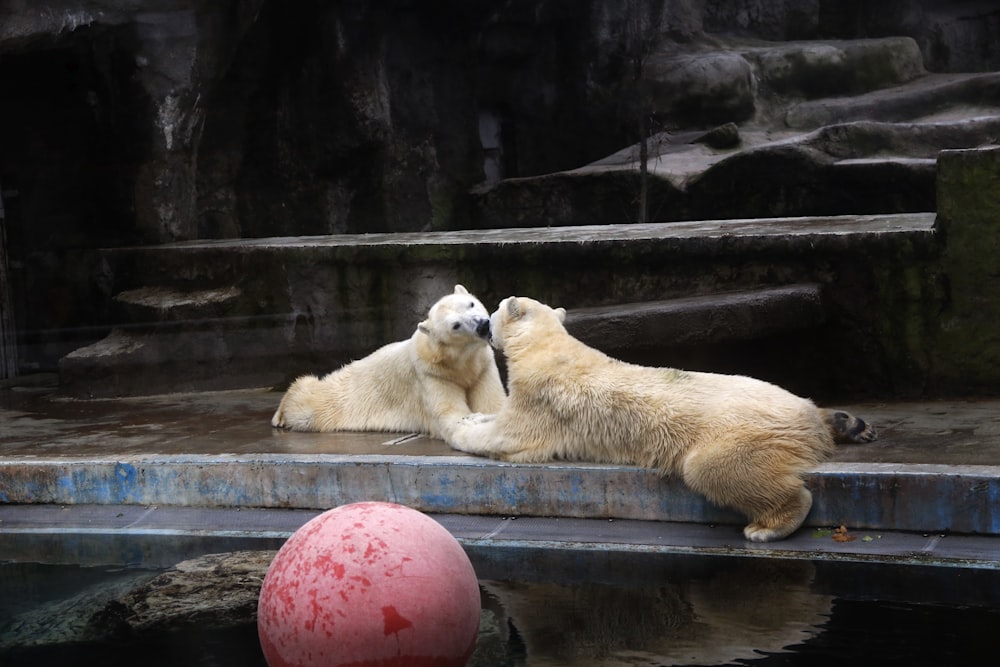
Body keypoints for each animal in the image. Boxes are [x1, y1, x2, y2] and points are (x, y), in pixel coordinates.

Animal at [272, 284, 508, 440]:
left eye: (471, 303)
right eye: (455, 325)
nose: (483, 325)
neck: (459, 363)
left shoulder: (483, 367)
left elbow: (493, 403)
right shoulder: (430, 374)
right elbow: (450, 413)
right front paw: (470, 420)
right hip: (338, 398)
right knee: (307, 402)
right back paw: (280, 416)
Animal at [446, 298, 876, 544]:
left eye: (491, 313)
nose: (485, 327)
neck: (548, 349)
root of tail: (805, 418)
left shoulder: (540, 399)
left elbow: (508, 437)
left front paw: (460, 427)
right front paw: (473, 414)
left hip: (744, 432)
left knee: (712, 467)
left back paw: (768, 526)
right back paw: (846, 423)